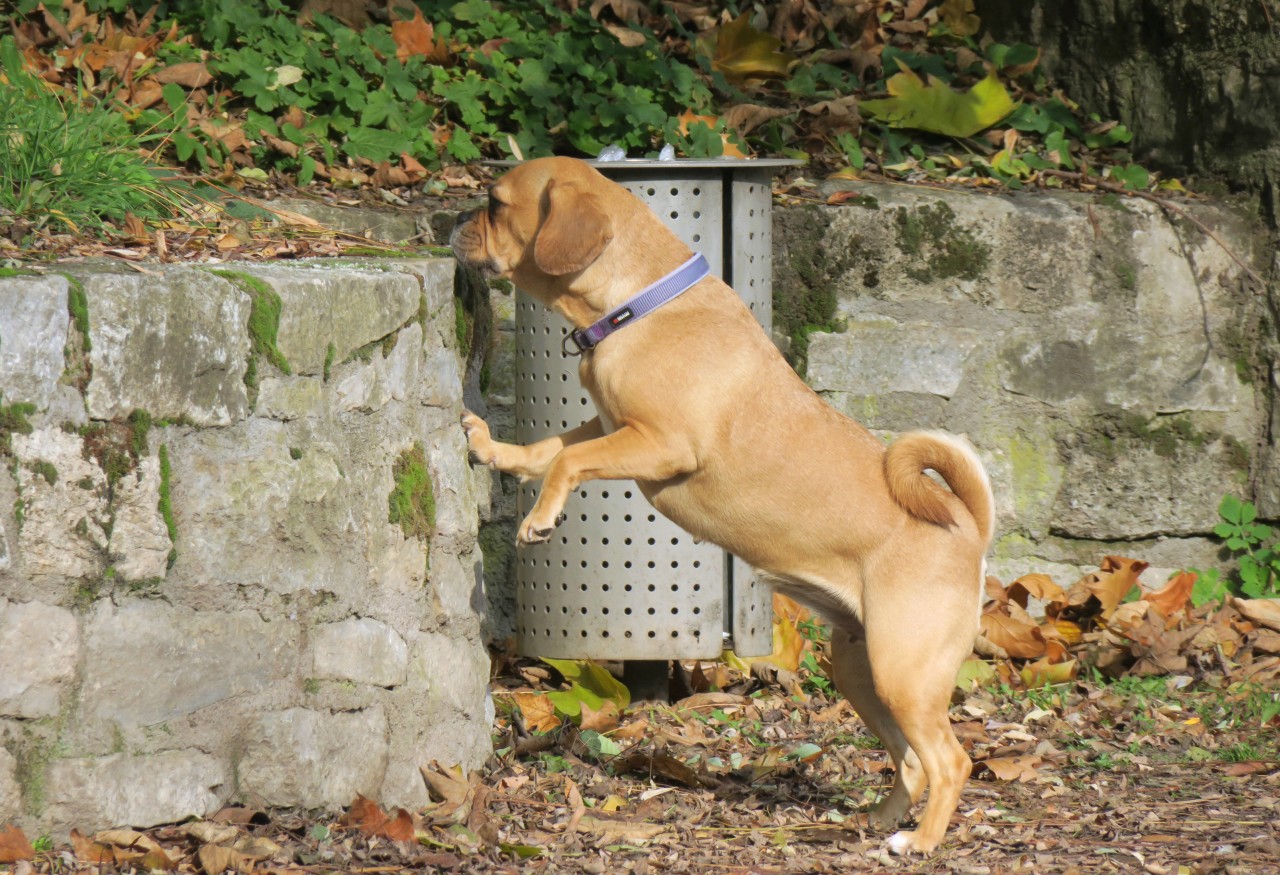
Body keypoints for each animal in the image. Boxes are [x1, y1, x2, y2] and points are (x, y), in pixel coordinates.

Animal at [448, 157, 988, 854]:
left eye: (494, 203)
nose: (453, 222)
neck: (638, 304)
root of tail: (971, 531)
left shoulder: (657, 446)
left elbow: (565, 464)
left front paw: (540, 520)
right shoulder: (605, 429)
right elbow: (546, 451)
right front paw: (493, 449)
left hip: (904, 673)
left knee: (950, 761)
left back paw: (919, 840)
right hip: (860, 669)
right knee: (911, 760)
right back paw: (881, 820)